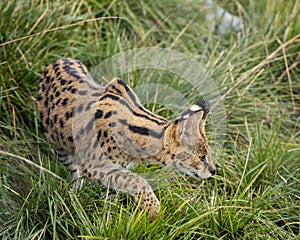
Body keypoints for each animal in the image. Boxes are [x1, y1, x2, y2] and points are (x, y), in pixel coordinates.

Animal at [37, 58, 216, 221]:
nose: (213, 171)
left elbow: (114, 189)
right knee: (74, 172)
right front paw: (153, 208)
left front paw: (108, 219)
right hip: (60, 148)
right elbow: (136, 179)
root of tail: (57, 60)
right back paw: (73, 195)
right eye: (201, 157)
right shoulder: (94, 166)